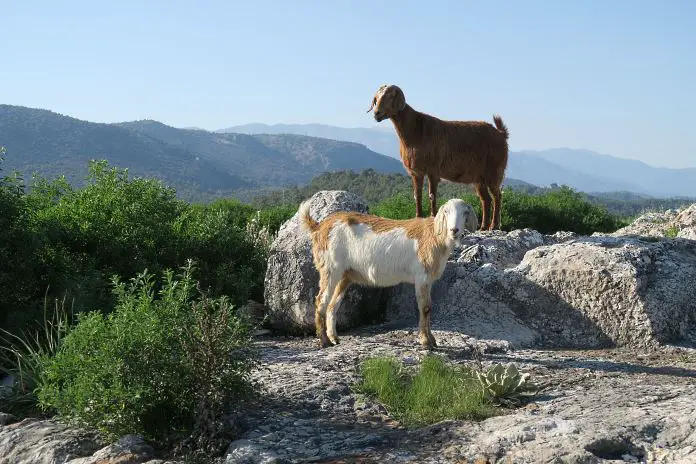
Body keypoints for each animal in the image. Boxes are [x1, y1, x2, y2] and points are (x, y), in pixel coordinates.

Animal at [300, 198, 478, 346]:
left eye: (465, 212)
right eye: (446, 211)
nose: (454, 230)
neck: (434, 236)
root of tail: (319, 227)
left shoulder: (429, 280)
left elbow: (428, 307)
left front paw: (431, 339)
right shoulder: (422, 276)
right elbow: (425, 307)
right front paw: (425, 341)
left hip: (345, 274)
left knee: (332, 305)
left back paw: (334, 338)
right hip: (330, 267)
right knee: (321, 300)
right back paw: (323, 341)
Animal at [368, 84, 508, 231]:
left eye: (390, 96)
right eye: (376, 98)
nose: (376, 113)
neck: (416, 131)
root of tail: (501, 134)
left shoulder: (433, 169)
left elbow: (432, 195)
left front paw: (433, 217)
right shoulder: (416, 172)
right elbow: (417, 195)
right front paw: (418, 217)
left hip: (494, 170)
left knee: (497, 196)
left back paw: (494, 225)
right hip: (479, 178)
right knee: (486, 199)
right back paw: (483, 227)